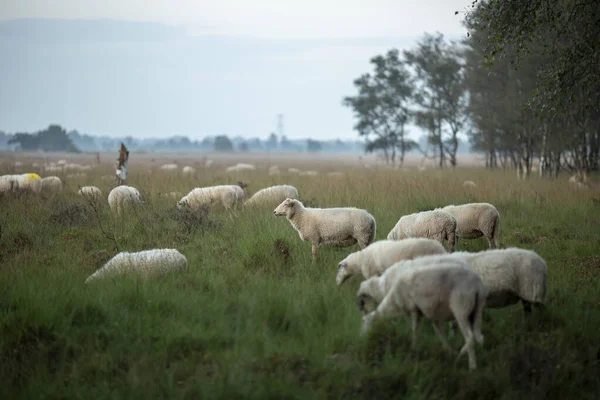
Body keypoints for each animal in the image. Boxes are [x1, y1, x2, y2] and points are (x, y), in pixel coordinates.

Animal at [358, 258, 486, 370]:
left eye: (365, 324)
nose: (362, 340)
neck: (394, 301)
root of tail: (478, 285)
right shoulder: (433, 314)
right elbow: (439, 332)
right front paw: (447, 350)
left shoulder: (414, 310)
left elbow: (415, 330)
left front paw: (414, 349)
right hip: (476, 311)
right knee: (477, 337)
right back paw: (462, 355)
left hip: (461, 309)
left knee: (470, 338)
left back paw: (471, 365)